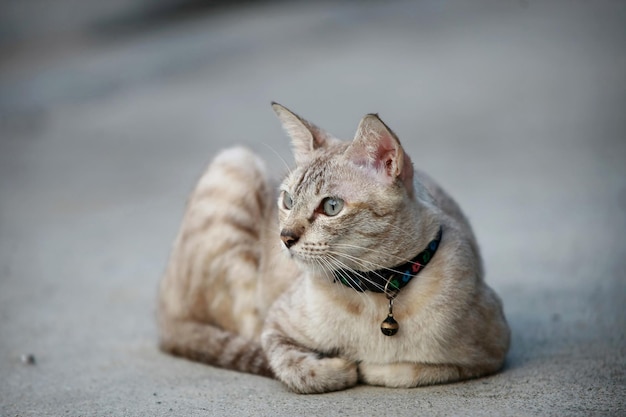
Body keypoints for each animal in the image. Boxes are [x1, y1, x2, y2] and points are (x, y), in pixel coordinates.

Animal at [156, 102, 508, 392]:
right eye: (288, 201)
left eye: (331, 207)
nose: (284, 236)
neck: (380, 286)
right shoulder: (274, 327)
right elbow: (294, 367)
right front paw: (339, 366)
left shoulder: (493, 352)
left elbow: (407, 371)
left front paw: (371, 366)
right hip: (236, 161)